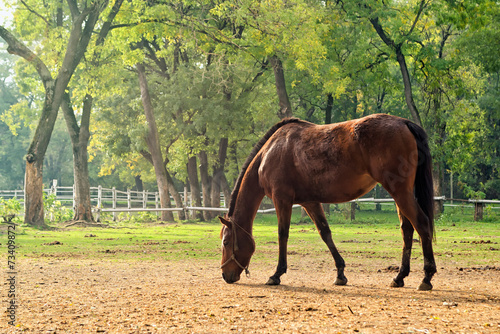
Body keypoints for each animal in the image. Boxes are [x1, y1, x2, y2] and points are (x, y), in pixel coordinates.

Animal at [221, 114, 436, 290]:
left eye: (225, 241)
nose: (225, 275)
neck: (270, 152)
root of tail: (404, 123)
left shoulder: (281, 199)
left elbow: (283, 234)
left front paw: (277, 274)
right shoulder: (310, 202)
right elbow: (325, 233)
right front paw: (340, 273)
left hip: (400, 193)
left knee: (422, 224)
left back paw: (426, 277)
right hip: (400, 195)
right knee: (407, 230)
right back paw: (399, 277)